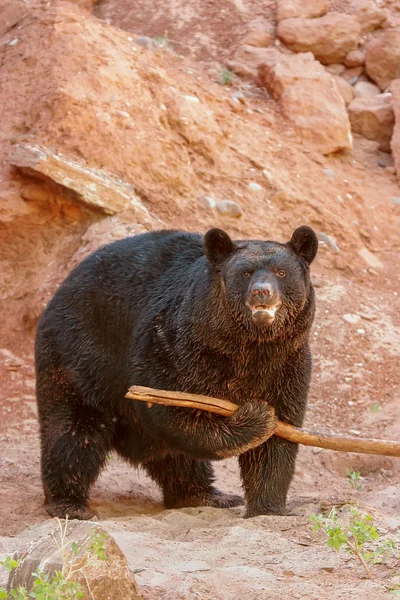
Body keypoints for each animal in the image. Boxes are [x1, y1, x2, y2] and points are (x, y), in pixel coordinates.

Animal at [36, 227, 318, 516]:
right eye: (245, 273)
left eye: (281, 272)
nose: (262, 292)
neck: (248, 347)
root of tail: (61, 288)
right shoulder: (175, 344)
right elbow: (170, 405)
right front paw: (256, 417)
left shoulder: (287, 365)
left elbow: (278, 438)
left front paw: (267, 508)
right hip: (81, 354)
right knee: (74, 431)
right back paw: (69, 503)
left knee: (174, 457)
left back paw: (205, 495)